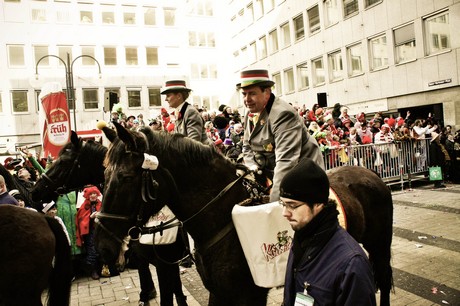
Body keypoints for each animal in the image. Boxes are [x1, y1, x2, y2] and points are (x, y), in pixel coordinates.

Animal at [95, 123, 394, 306]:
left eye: (125, 177)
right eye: (104, 175)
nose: (104, 245)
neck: (222, 216)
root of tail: (369, 173)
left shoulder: (248, 294)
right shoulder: (218, 291)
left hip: (379, 245)